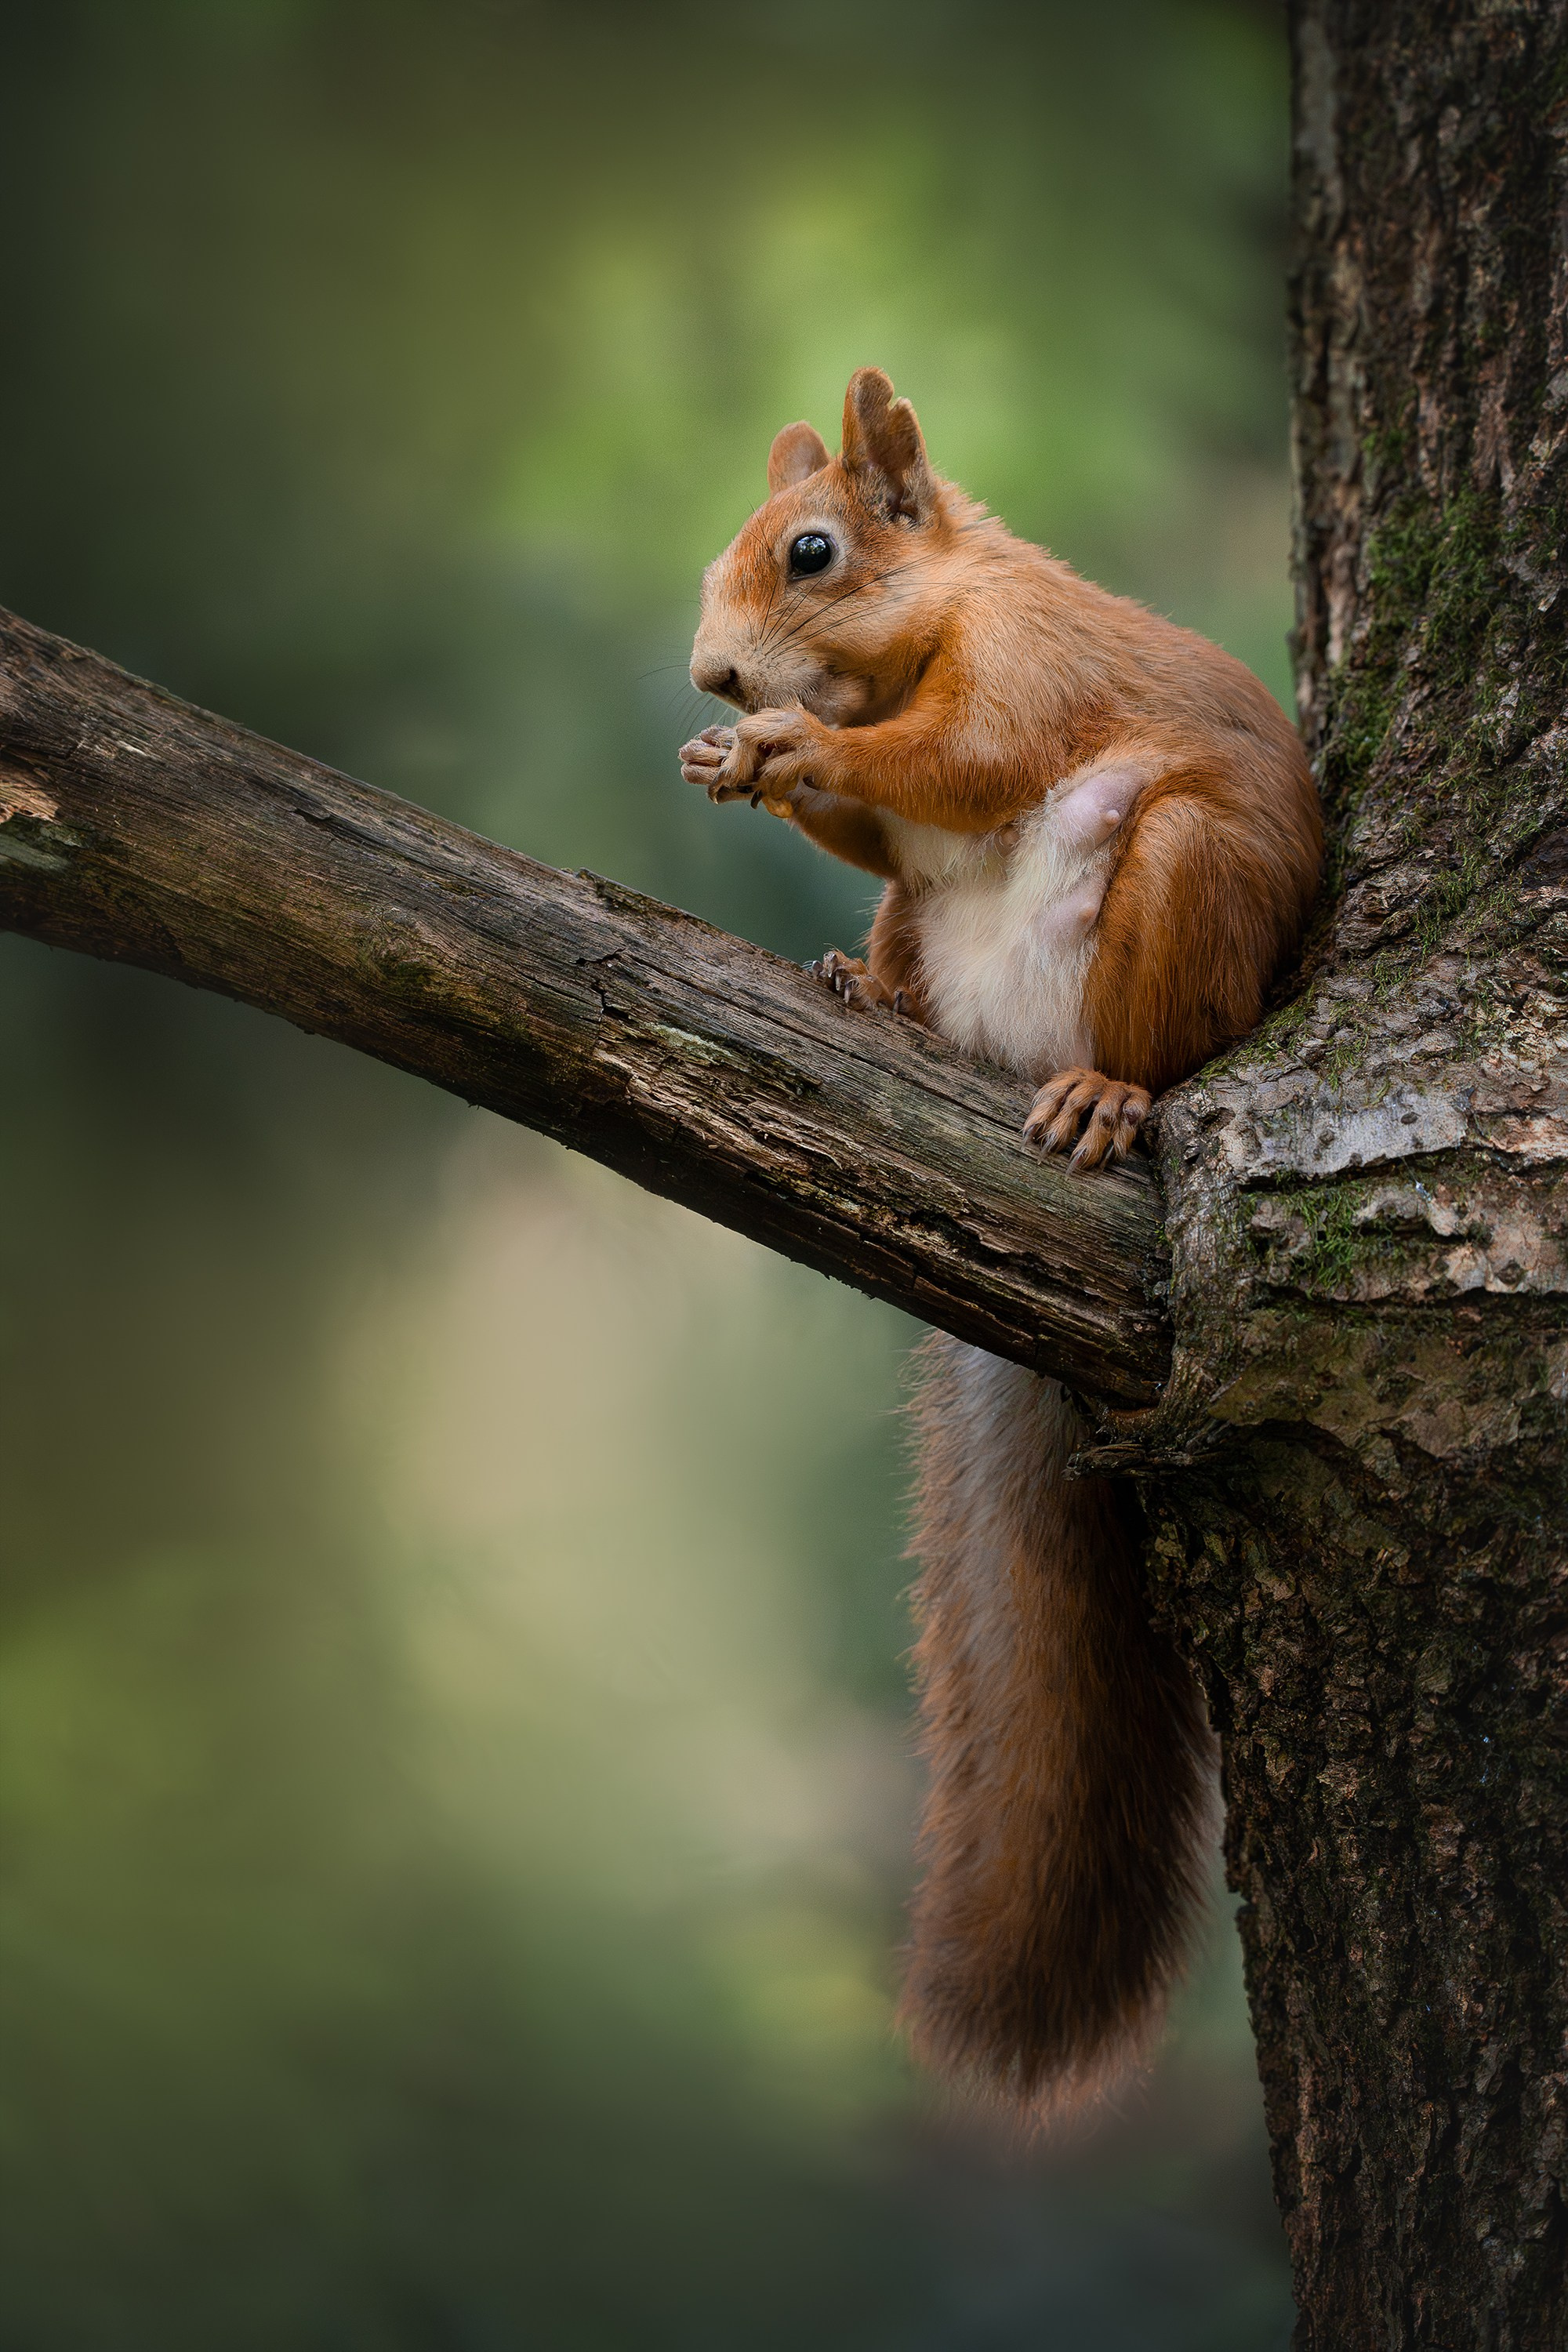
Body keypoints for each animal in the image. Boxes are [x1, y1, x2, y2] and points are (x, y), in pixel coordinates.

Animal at [679, 368, 1321, 2117]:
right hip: (937, 934)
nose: (709, 675)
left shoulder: (1027, 673)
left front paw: (780, 737)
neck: (934, 617)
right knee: (902, 927)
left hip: (1183, 879)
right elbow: (881, 823)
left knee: (1151, 1032)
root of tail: (1014, 1055)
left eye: (811, 551)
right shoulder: (898, 817)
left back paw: (1107, 1095)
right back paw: (865, 991)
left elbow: (962, 759)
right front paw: (747, 757)